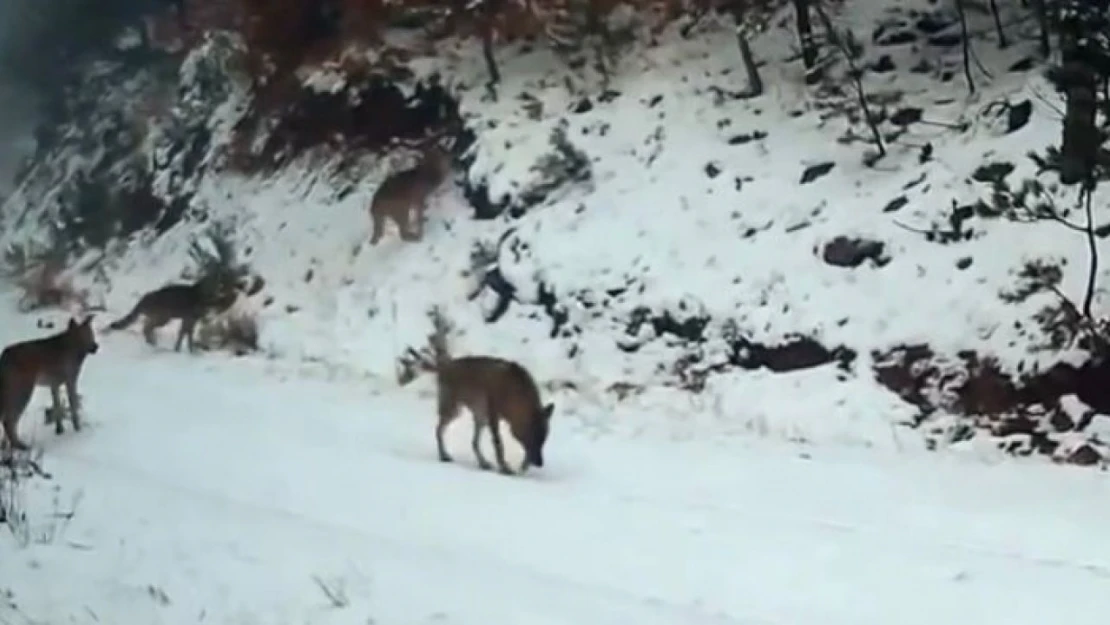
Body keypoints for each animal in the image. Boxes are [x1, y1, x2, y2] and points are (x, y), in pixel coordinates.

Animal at [0, 317, 99, 450]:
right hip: (23, 389)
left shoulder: (54, 384)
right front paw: (78, 429)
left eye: (91, 333)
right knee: (9, 420)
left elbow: (57, 407)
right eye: (83, 335)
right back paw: (21, 446)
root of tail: (4, 356)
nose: (95, 346)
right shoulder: (70, 379)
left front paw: (59, 430)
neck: (74, 351)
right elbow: (73, 406)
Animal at [401, 310, 552, 477]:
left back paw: (483, 463)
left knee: (473, 442)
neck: (514, 394)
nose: (540, 463)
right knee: (439, 430)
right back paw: (444, 455)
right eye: (534, 438)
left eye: (544, 440)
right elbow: (499, 445)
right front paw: (505, 468)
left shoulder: (497, 419)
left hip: (478, 416)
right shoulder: (493, 415)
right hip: (454, 410)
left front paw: (521, 468)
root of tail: (444, 365)